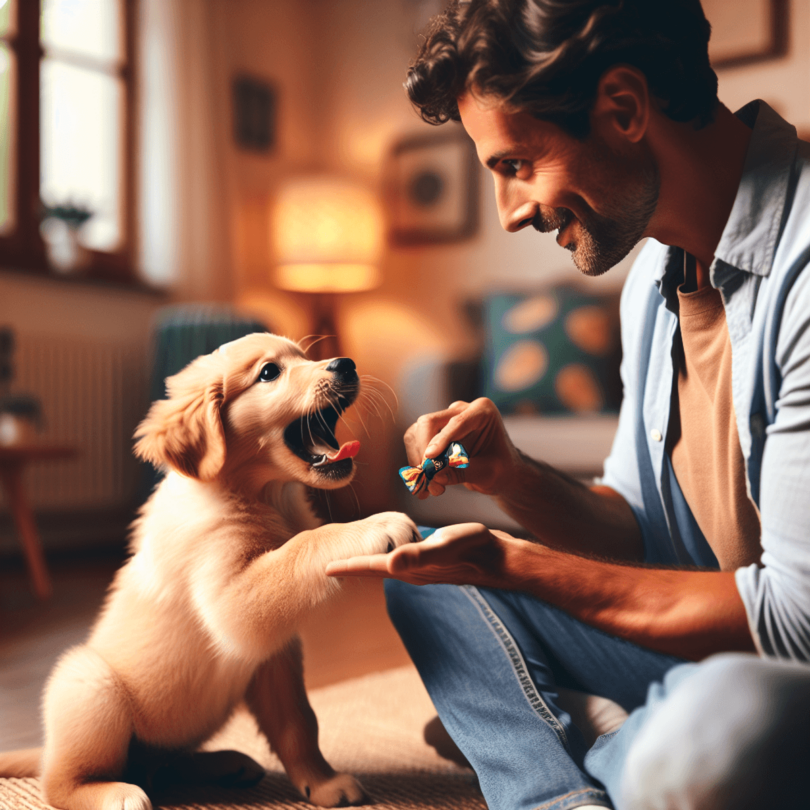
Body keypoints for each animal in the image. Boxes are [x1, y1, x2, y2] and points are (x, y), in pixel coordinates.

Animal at [0, 332, 416, 808]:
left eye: (305, 356)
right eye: (269, 373)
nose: (346, 364)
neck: (260, 495)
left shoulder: (274, 657)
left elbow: (298, 722)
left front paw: (322, 781)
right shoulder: (228, 603)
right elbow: (302, 546)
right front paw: (373, 526)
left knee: (165, 764)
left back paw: (224, 764)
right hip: (90, 685)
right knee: (60, 782)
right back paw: (116, 793)